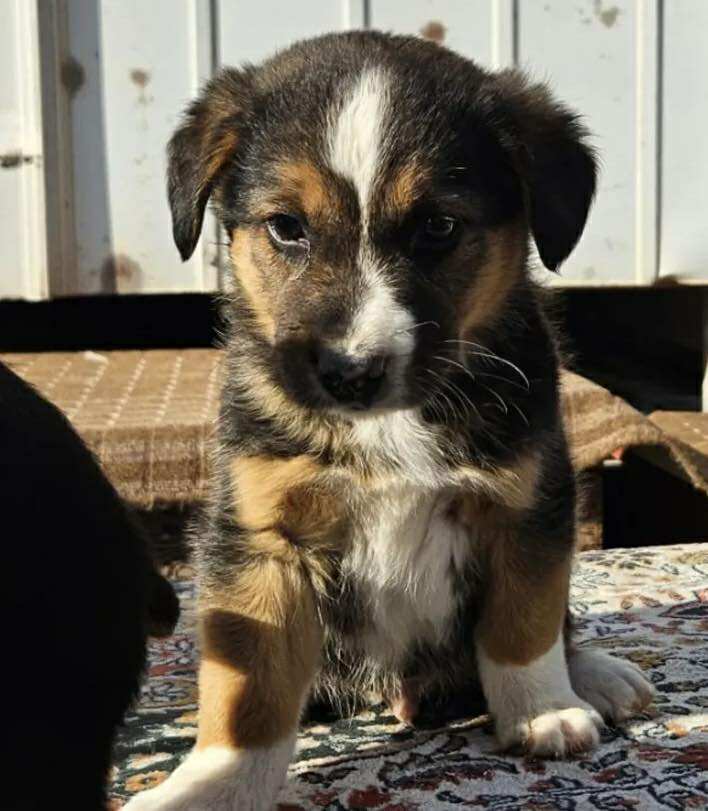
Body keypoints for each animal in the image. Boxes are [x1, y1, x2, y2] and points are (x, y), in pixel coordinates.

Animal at [124, 30, 654, 810]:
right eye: (286, 228)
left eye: (438, 226)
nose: (351, 371)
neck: (389, 425)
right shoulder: (261, 537)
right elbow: (248, 692)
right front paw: (211, 784)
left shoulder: (530, 504)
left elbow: (524, 620)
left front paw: (541, 711)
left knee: (561, 624)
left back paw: (595, 676)